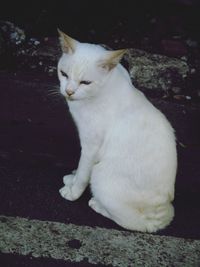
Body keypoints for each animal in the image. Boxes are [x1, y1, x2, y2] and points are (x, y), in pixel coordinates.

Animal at [57, 29, 177, 233]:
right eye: (63, 74)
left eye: (85, 82)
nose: (69, 92)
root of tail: (161, 213)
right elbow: (79, 170)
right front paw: (71, 179)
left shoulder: (91, 146)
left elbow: (83, 173)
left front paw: (73, 192)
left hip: (100, 175)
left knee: (133, 222)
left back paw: (96, 203)